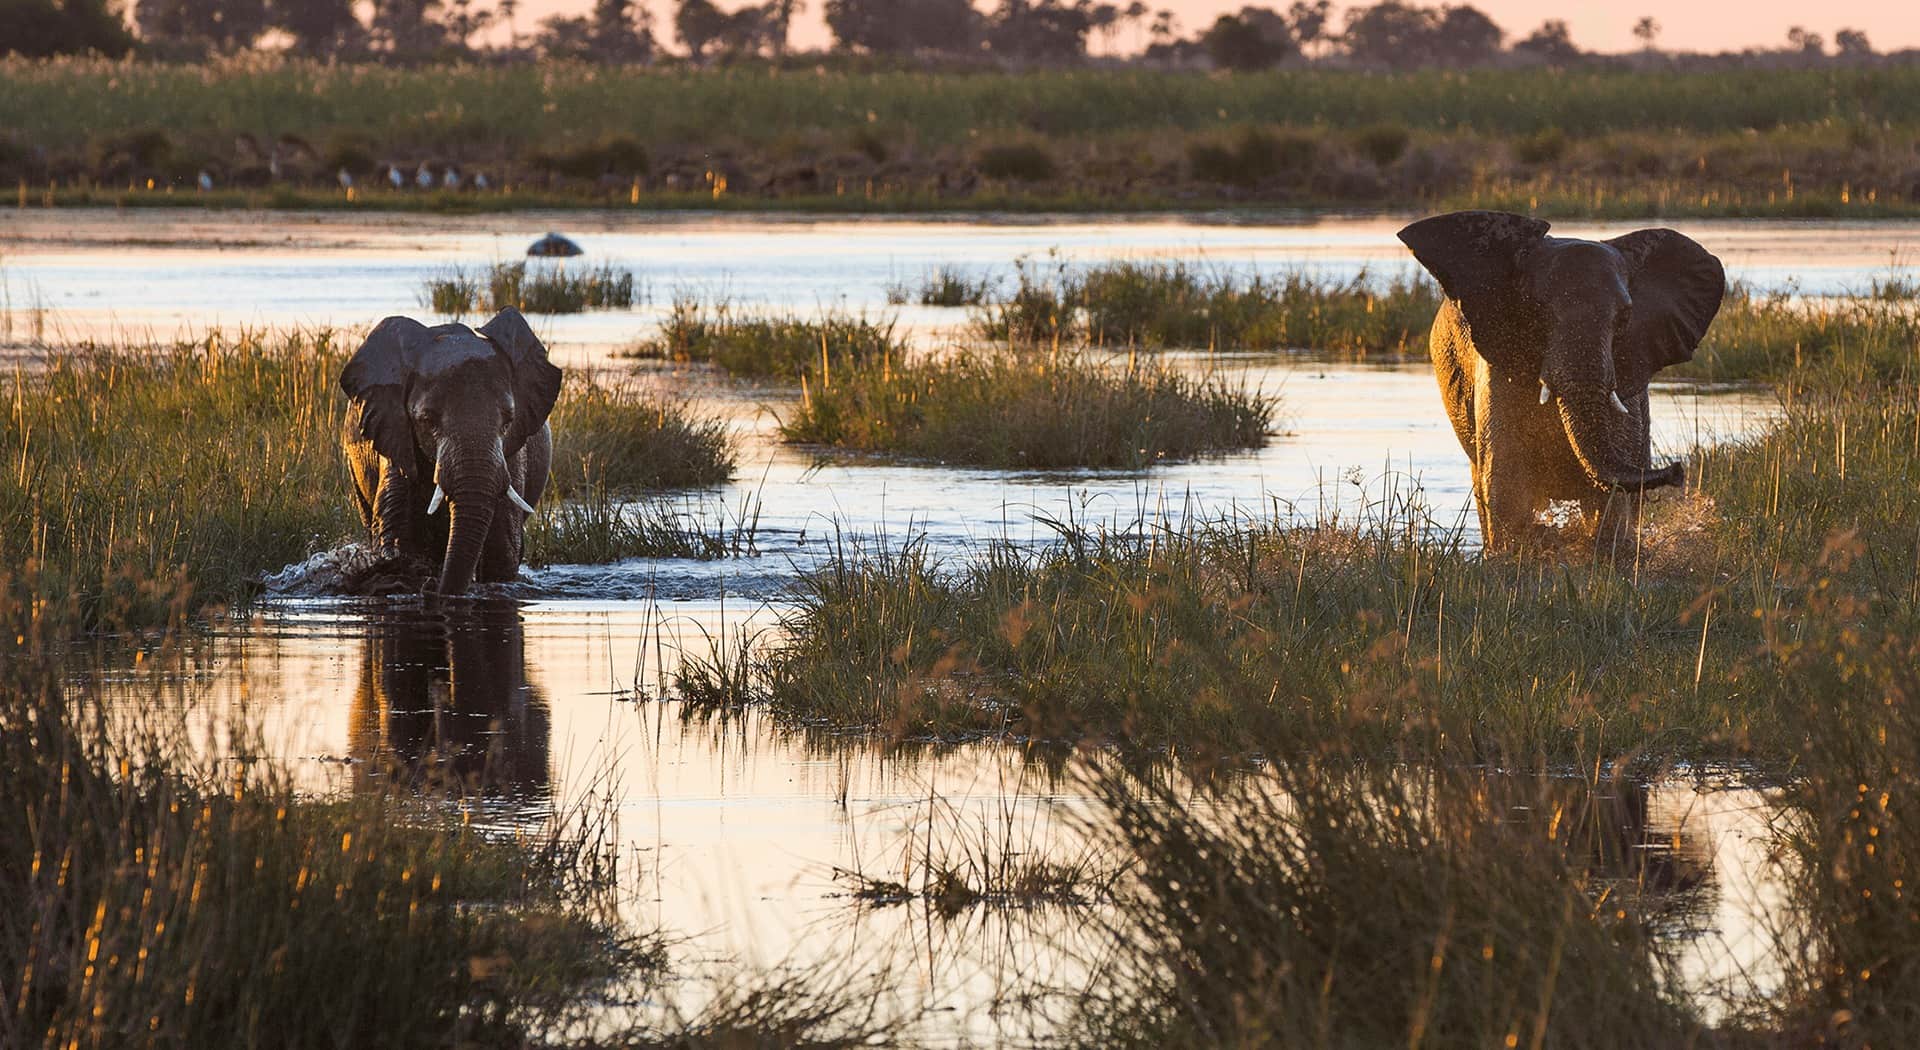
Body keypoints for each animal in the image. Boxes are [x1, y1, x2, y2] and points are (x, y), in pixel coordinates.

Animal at [341, 309, 560, 595]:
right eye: (427, 420)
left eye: (509, 420)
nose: (435, 589)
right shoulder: (396, 440)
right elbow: (396, 536)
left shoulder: (512, 456)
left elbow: (502, 552)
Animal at [1397, 211, 1728, 560]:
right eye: (1537, 309)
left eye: (1625, 317)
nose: (1678, 471)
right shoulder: (1496, 368)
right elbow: (1506, 482)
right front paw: (1519, 554)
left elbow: (1609, 496)